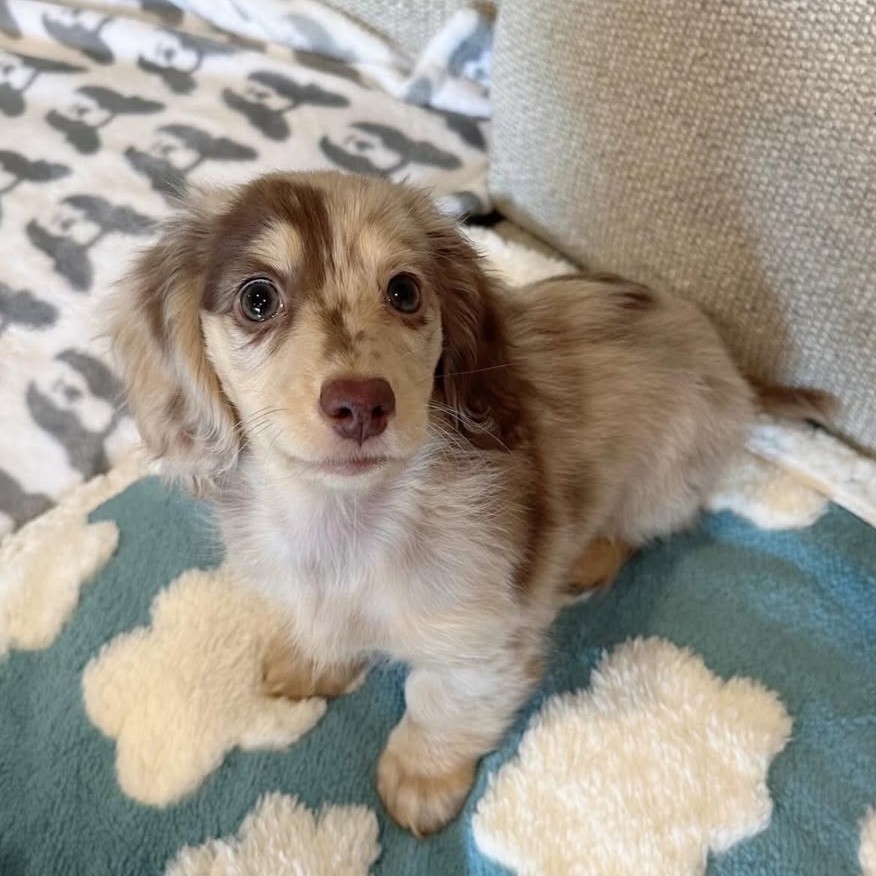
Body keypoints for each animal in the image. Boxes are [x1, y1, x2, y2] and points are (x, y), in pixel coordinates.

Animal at [109, 170, 831, 836]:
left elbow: (440, 702)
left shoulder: (483, 641)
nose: (362, 403)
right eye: (257, 299)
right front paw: (314, 661)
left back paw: (588, 560)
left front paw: (420, 779)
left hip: (659, 482)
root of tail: (730, 364)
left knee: (643, 526)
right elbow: (325, 629)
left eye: (404, 291)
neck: (343, 524)